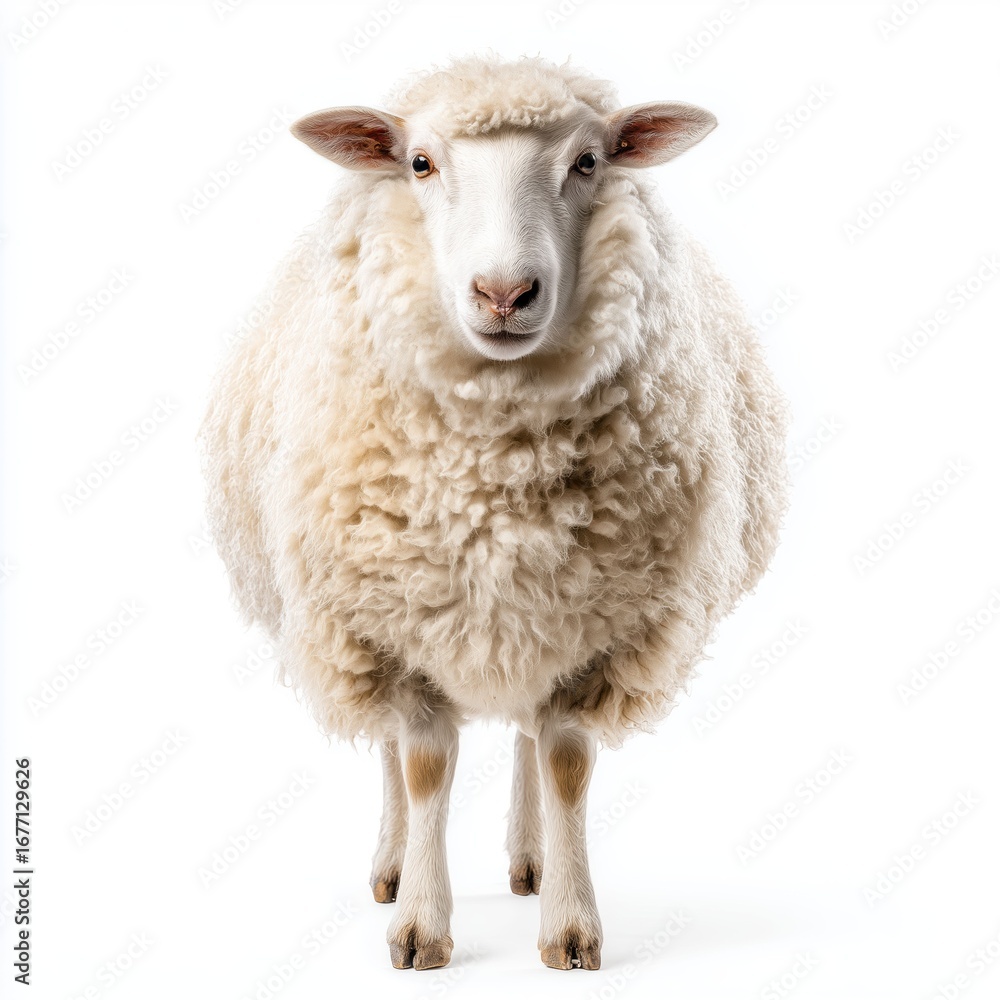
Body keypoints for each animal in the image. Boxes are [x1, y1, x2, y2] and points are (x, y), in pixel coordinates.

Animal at [198, 54, 789, 972]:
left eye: (589, 161)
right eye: (419, 163)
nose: (505, 293)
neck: (498, 480)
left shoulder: (601, 633)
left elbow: (566, 762)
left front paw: (570, 927)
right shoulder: (386, 627)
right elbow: (422, 767)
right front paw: (420, 926)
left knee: (526, 739)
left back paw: (531, 859)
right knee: (388, 752)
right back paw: (393, 865)